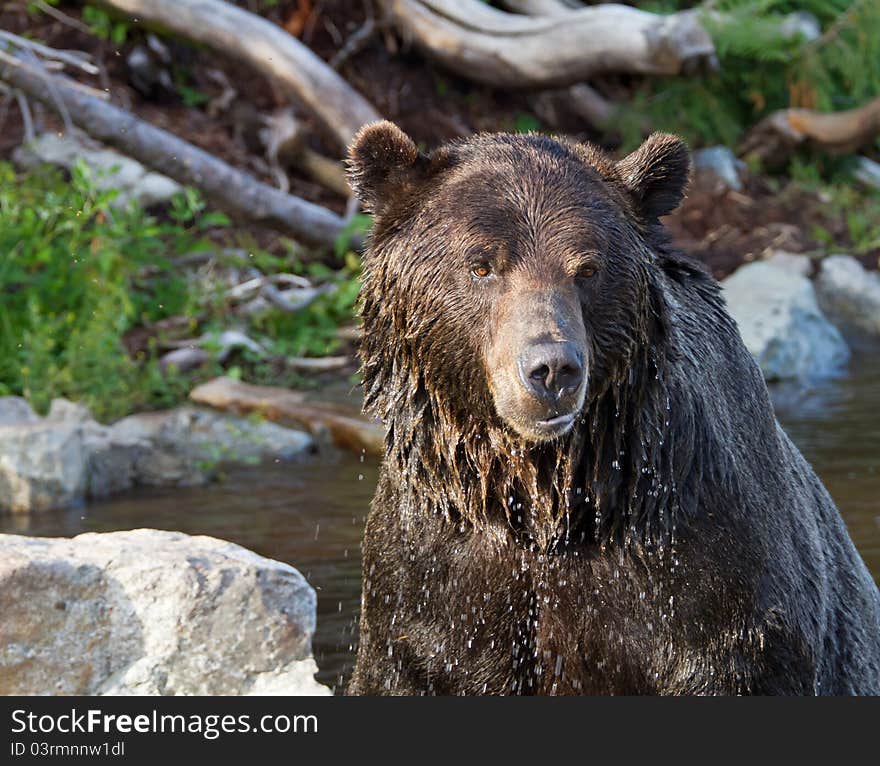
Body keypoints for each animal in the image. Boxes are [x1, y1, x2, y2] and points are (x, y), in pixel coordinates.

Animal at [346, 121, 880, 696]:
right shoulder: (431, 577)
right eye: (481, 265)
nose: (551, 369)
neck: (548, 496)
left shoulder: (703, 561)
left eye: (588, 268)